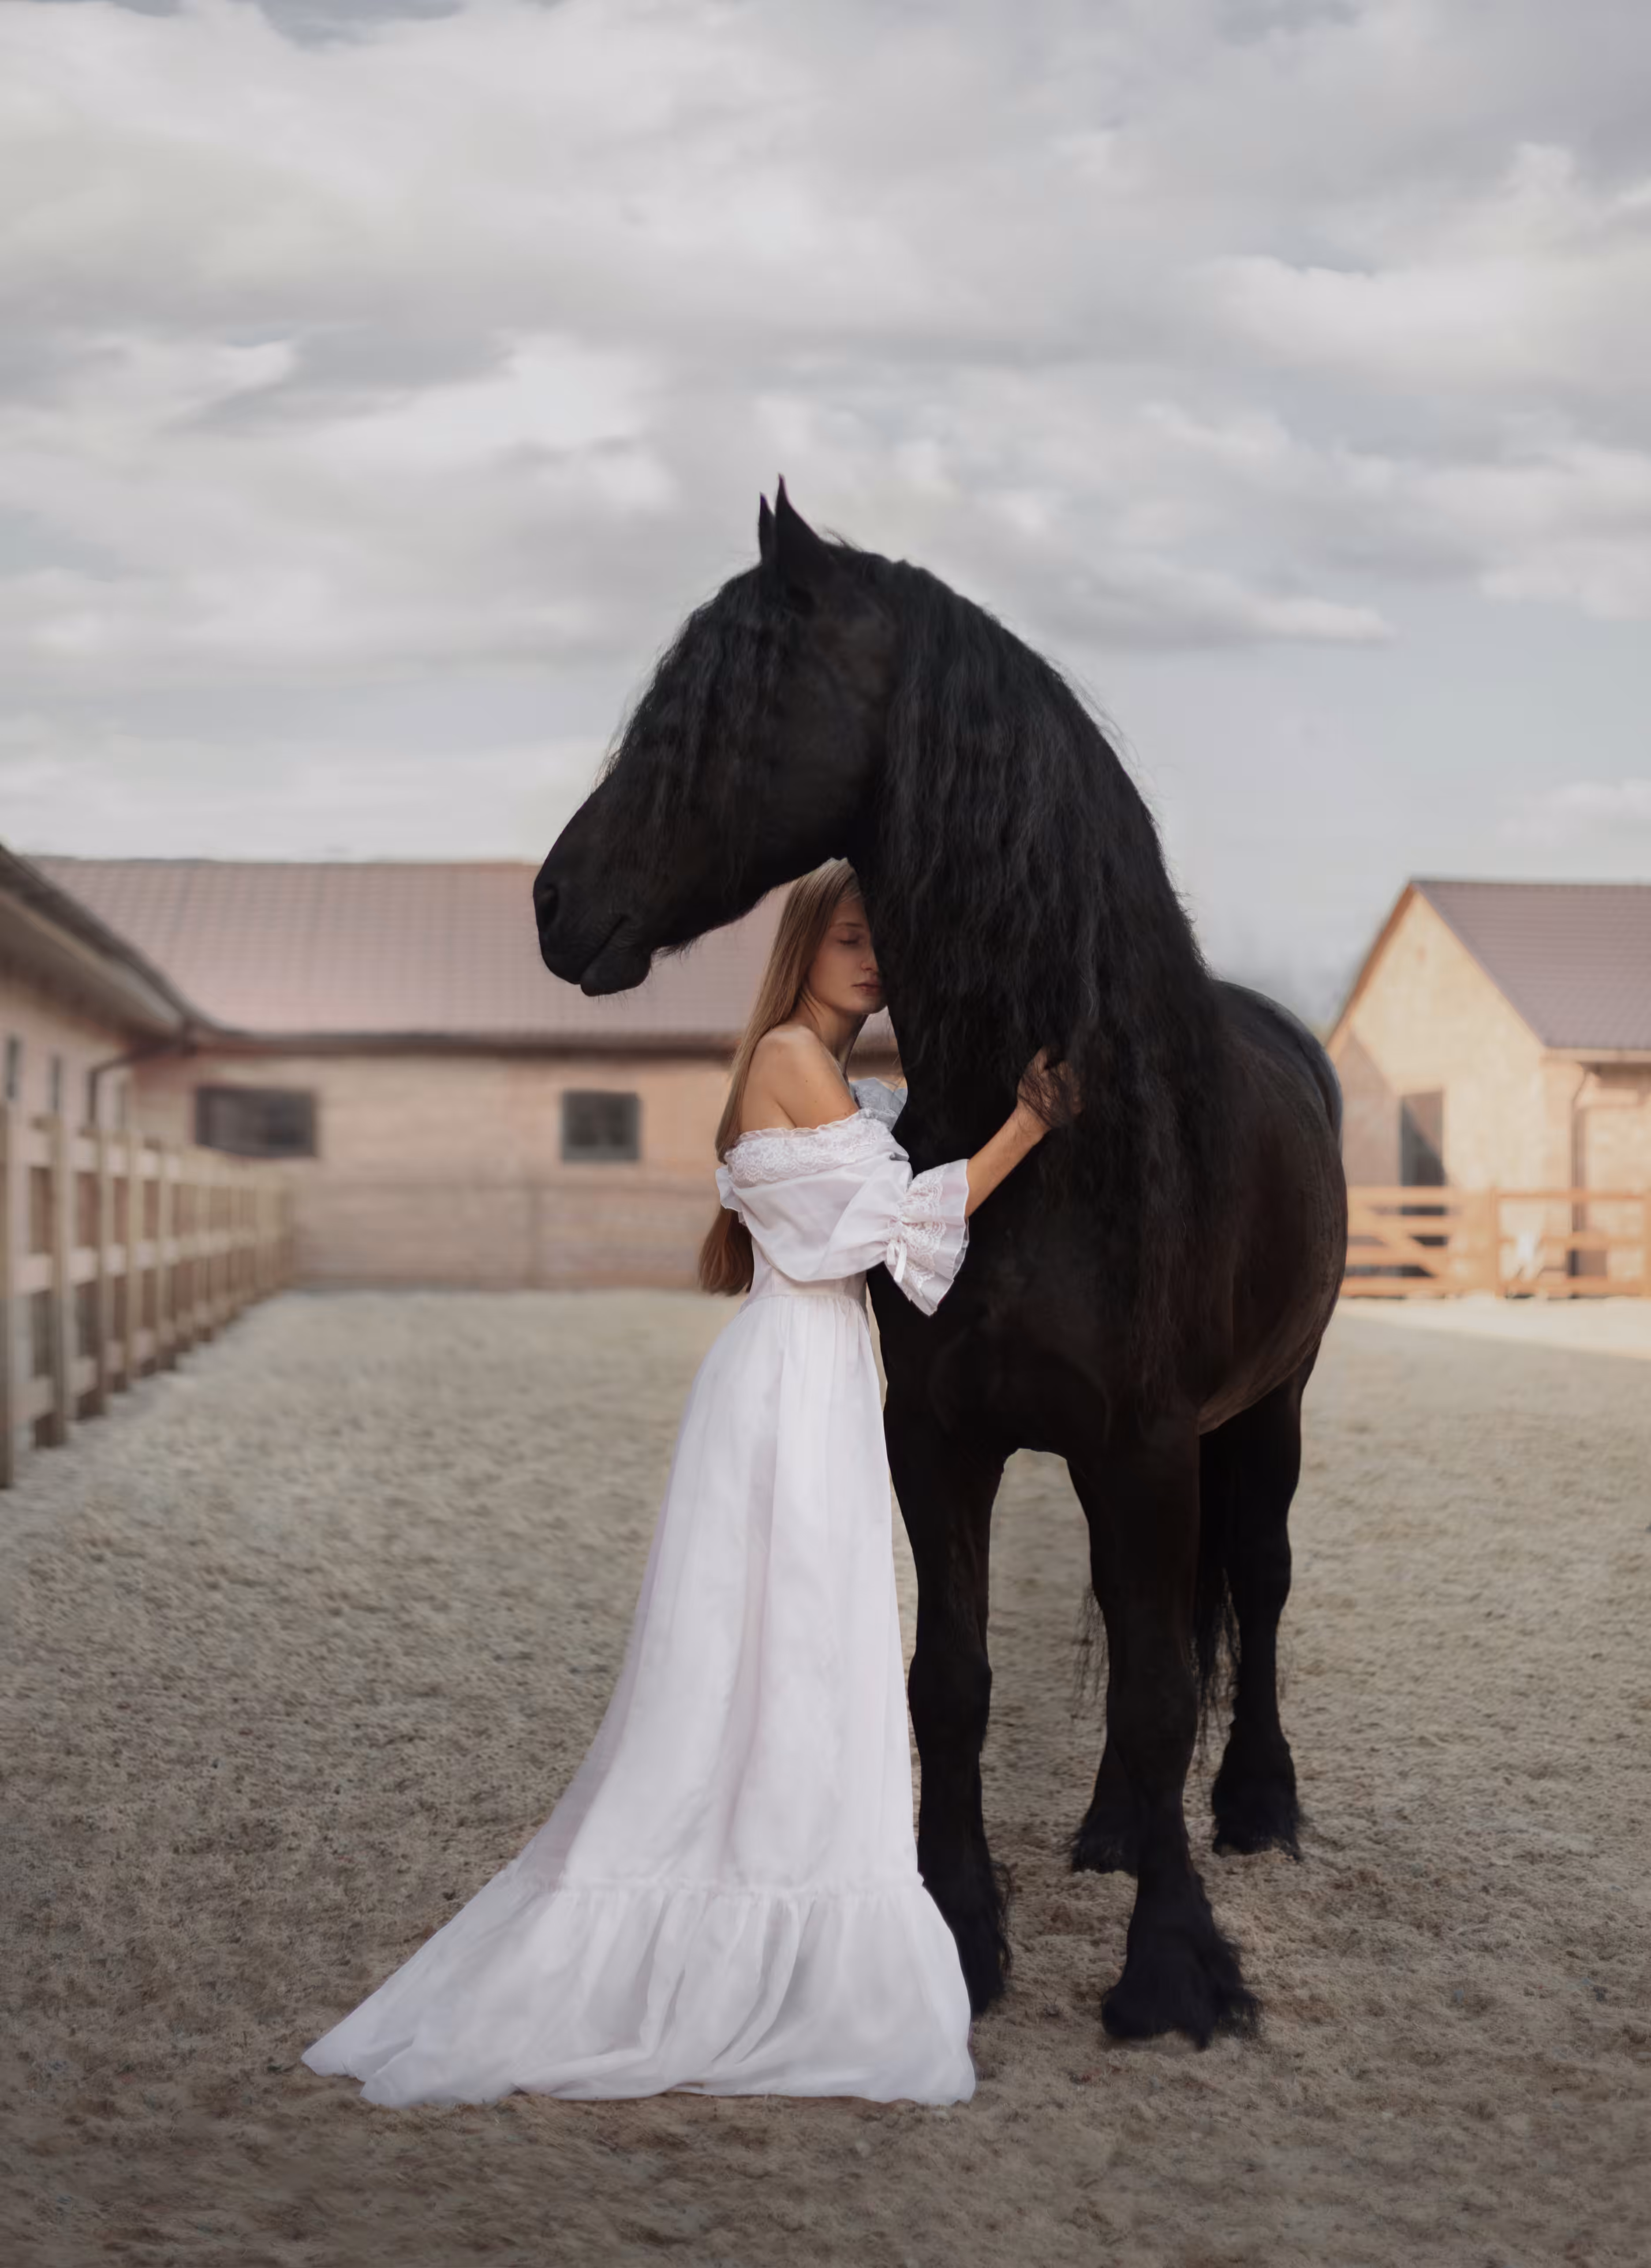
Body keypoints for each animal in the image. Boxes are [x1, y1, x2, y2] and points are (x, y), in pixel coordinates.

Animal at [534, 481, 1347, 2046]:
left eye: (715, 709)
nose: (552, 903)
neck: (1061, 1150)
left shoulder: (1150, 1443)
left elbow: (1166, 1686)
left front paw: (1173, 1971)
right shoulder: (944, 1438)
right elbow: (954, 1679)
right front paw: (962, 1940)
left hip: (1264, 1414)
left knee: (1260, 1588)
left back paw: (1255, 1807)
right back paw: (1115, 1826)